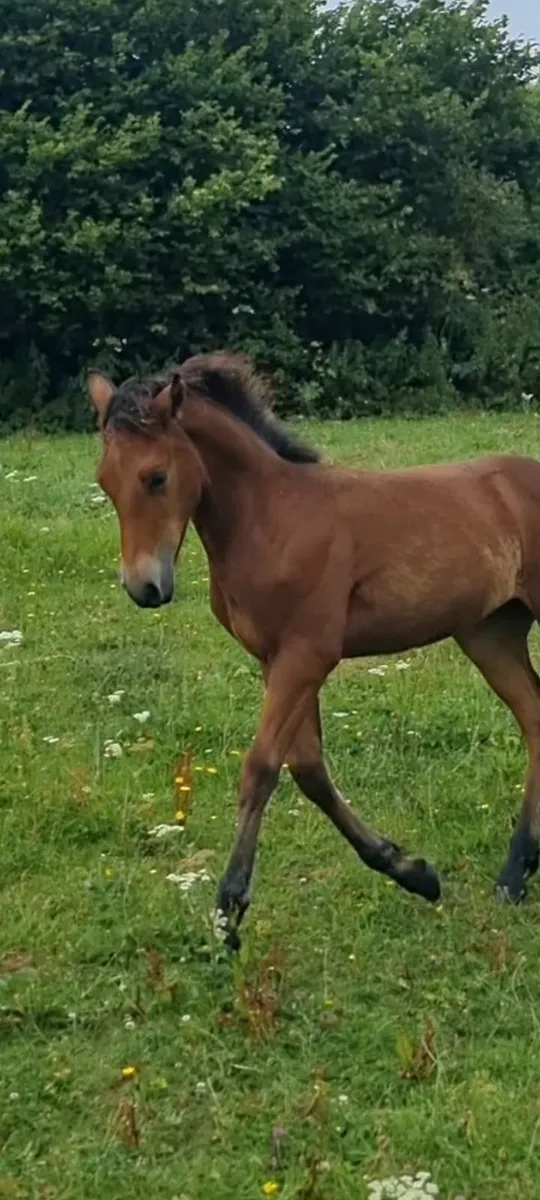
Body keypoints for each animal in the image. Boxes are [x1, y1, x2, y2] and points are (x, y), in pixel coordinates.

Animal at [89, 353, 540, 947]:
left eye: (155, 477)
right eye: (105, 482)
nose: (144, 589)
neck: (273, 518)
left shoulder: (307, 655)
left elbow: (261, 768)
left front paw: (228, 912)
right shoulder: (275, 660)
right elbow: (307, 768)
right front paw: (413, 872)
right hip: (491, 634)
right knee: (535, 717)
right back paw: (516, 872)